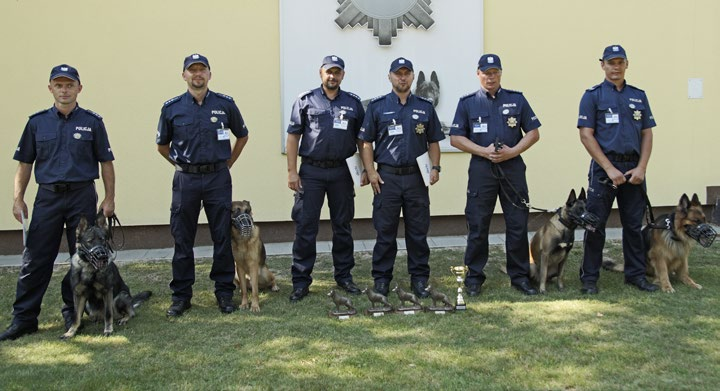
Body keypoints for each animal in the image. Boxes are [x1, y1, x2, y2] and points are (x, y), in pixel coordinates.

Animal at [62, 211, 152, 340]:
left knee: (128, 313)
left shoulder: (107, 291)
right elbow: (76, 316)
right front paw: (70, 332)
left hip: (120, 297)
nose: (102, 256)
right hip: (88, 305)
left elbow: (108, 314)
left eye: (103, 240)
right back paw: (97, 320)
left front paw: (108, 330)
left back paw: (123, 319)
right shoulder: (78, 295)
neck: (90, 268)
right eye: (89, 241)